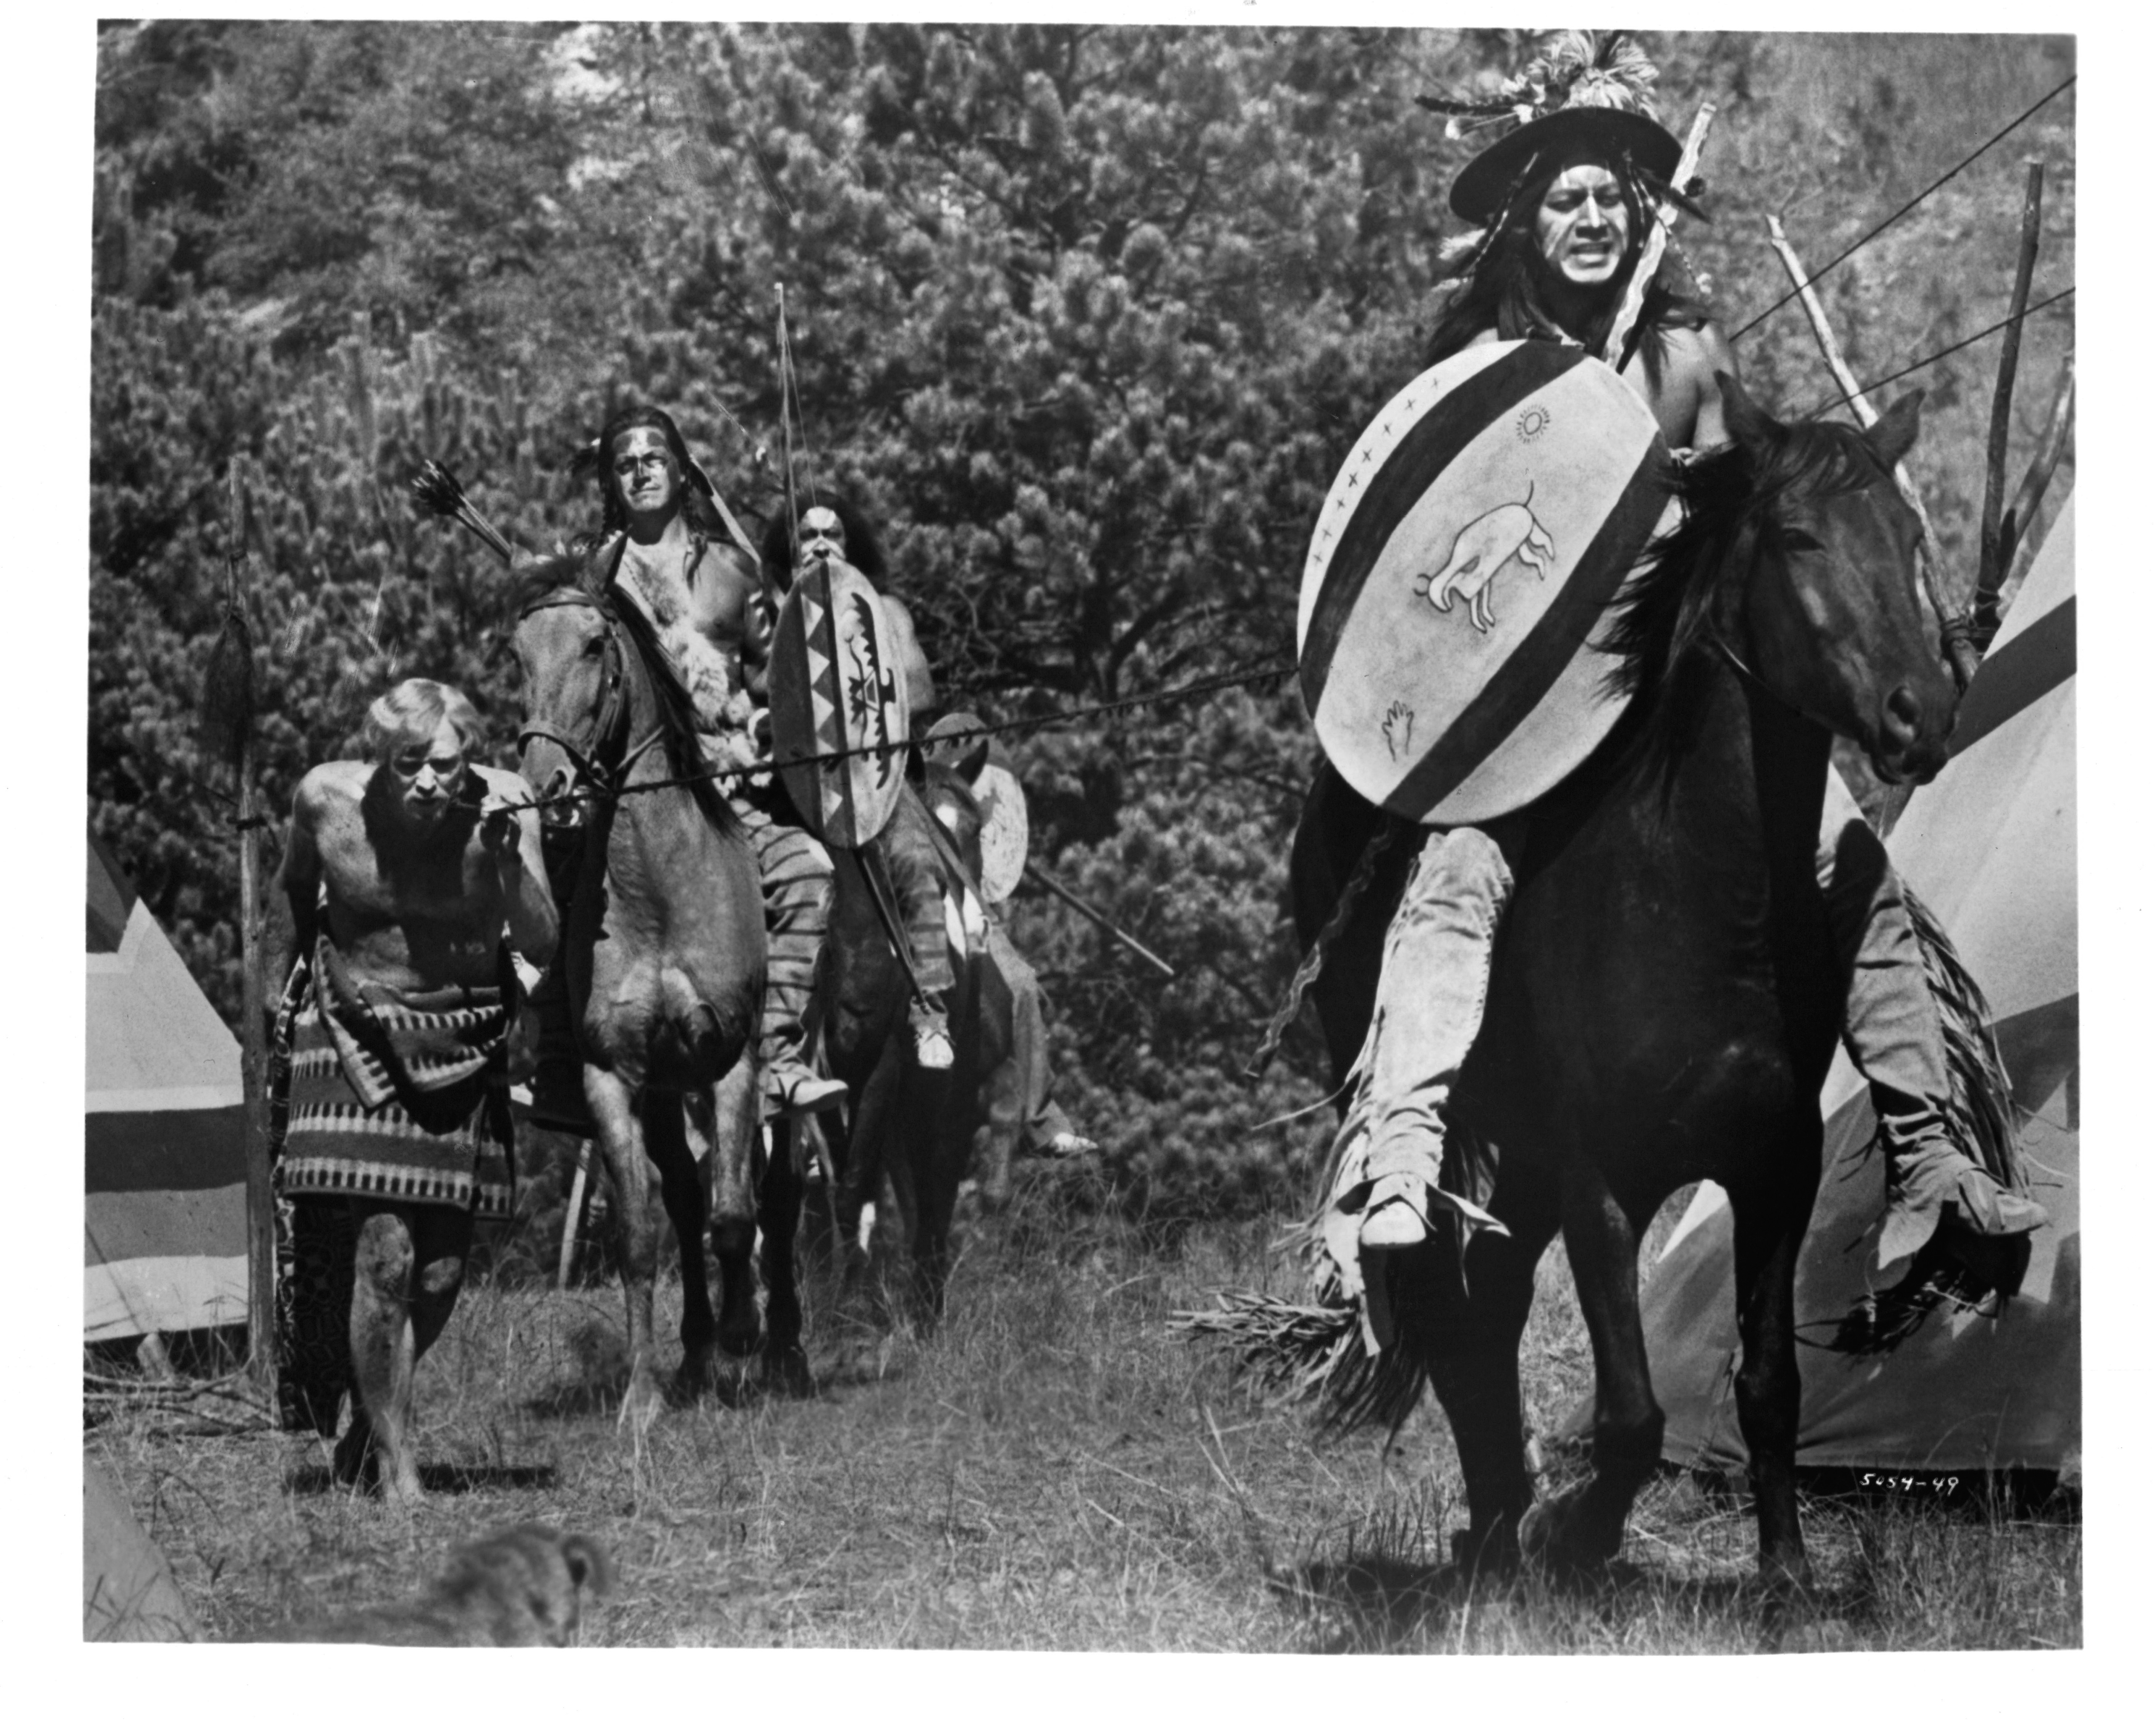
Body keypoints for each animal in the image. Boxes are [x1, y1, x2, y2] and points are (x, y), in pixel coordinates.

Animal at [511, 577, 767, 1431]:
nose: (546, 783)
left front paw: (744, 1335)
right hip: (659, 1094)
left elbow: (734, 1217)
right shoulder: (614, 1078)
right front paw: (643, 1397)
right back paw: (692, 1359)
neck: (658, 888)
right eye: (519, 654)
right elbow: (639, 1234)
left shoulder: (732, 1060)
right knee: (684, 1200)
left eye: (595, 644)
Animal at [1285, 373, 1966, 1586]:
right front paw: (1577, 1535)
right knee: (1454, 1303)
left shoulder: (1772, 1169)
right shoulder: (1601, 1176)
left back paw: (1497, 1519)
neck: (1699, 895)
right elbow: (1634, 1415)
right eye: (1797, 536)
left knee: (1491, 1301)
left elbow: (1768, 1385)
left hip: (1525, 1167)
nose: (1919, 714)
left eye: (1903, 535)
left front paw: (1784, 1575)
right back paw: (1502, 1532)